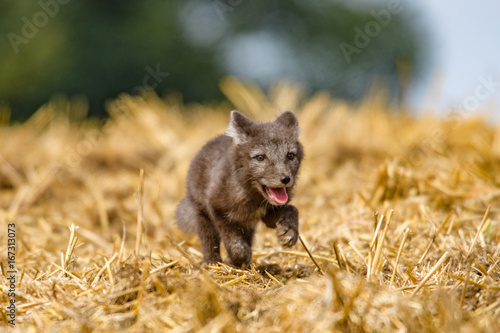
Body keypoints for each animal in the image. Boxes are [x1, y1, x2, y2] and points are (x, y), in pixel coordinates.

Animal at [176, 110, 302, 266]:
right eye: (260, 157)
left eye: (290, 155)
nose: (285, 179)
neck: (251, 198)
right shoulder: (217, 209)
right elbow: (235, 245)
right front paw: (235, 260)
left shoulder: (267, 214)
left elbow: (293, 209)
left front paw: (289, 231)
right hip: (202, 213)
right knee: (209, 240)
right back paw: (211, 263)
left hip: (248, 225)